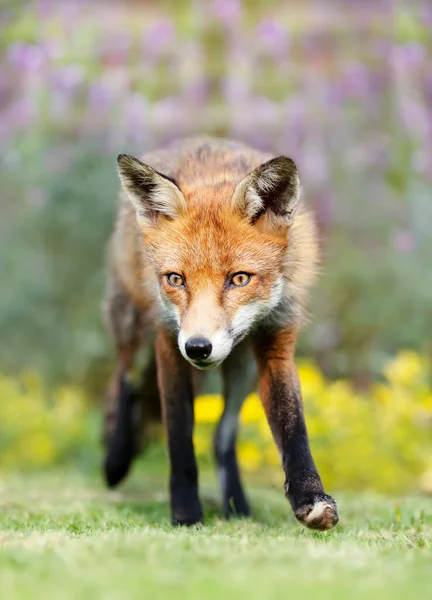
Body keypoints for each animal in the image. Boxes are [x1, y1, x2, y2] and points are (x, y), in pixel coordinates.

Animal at [103, 137, 340, 528]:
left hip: (242, 371)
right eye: (175, 279)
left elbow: (293, 428)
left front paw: (311, 499)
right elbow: (179, 435)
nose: (198, 348)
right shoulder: (168, 342)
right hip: (129, 323)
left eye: (239, 278)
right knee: (123, 379)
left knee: (221, 437)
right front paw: (185, 513)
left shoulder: (276, 344)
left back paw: (236, 505)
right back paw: (115, 458)